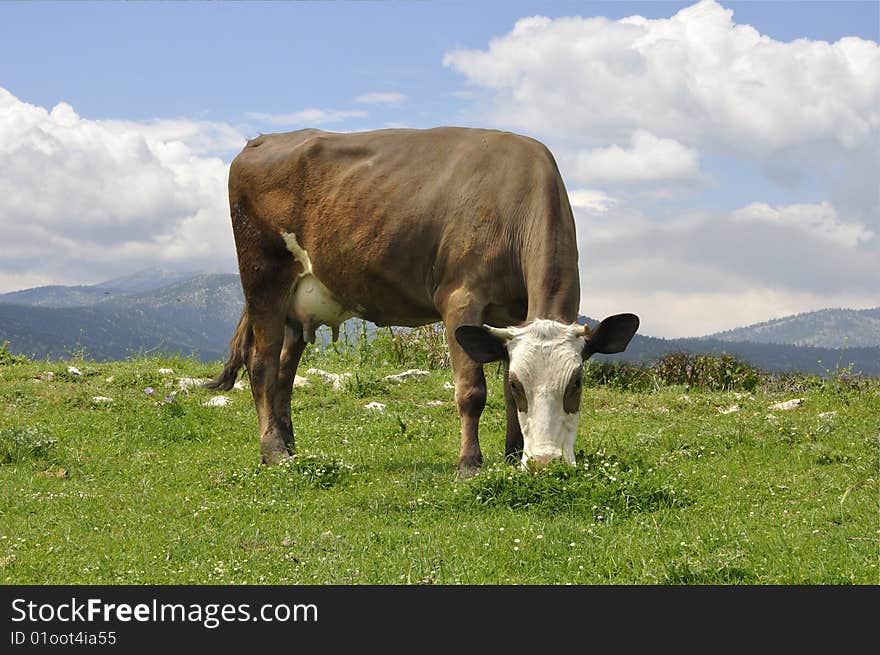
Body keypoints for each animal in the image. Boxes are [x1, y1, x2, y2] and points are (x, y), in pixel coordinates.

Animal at [207, 127, 636, 476]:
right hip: (262, 275)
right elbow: (472, 391)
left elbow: (499, 391)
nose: (546, 463)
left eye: (577, 382)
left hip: (300, 302)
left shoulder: (513, 315)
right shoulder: (461, 298)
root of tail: (260, 140)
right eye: (521, 385)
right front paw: (470, 463)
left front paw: (513, 454)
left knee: (284, 372)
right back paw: (274, 451)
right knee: (262, 365)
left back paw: (291, 448)